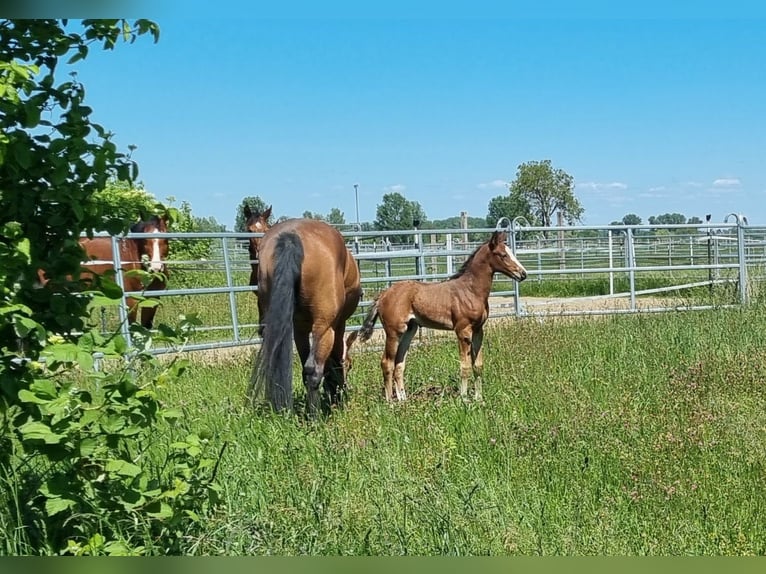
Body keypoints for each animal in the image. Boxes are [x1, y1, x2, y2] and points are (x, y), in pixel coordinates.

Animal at [249, 218, 362, 416]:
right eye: (350, 365)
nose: (344, 390)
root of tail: (290, 238)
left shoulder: (299, 330)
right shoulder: (337, 326)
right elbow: (332, 362)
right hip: (324, 328)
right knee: (313, 371)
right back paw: (315, 417)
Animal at [349, 230, 527, 402]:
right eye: (503, 255)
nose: (523, 274)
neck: (470, 290)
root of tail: (383, 295)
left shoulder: (478, 331)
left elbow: (478, 365)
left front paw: (479, 398)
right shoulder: (462, 331)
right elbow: (465, 366)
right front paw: (464, 399)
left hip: (410, 330)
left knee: (399, 363)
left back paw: (403, 401)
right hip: (394, 332)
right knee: (387, 363)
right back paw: (390, 403)